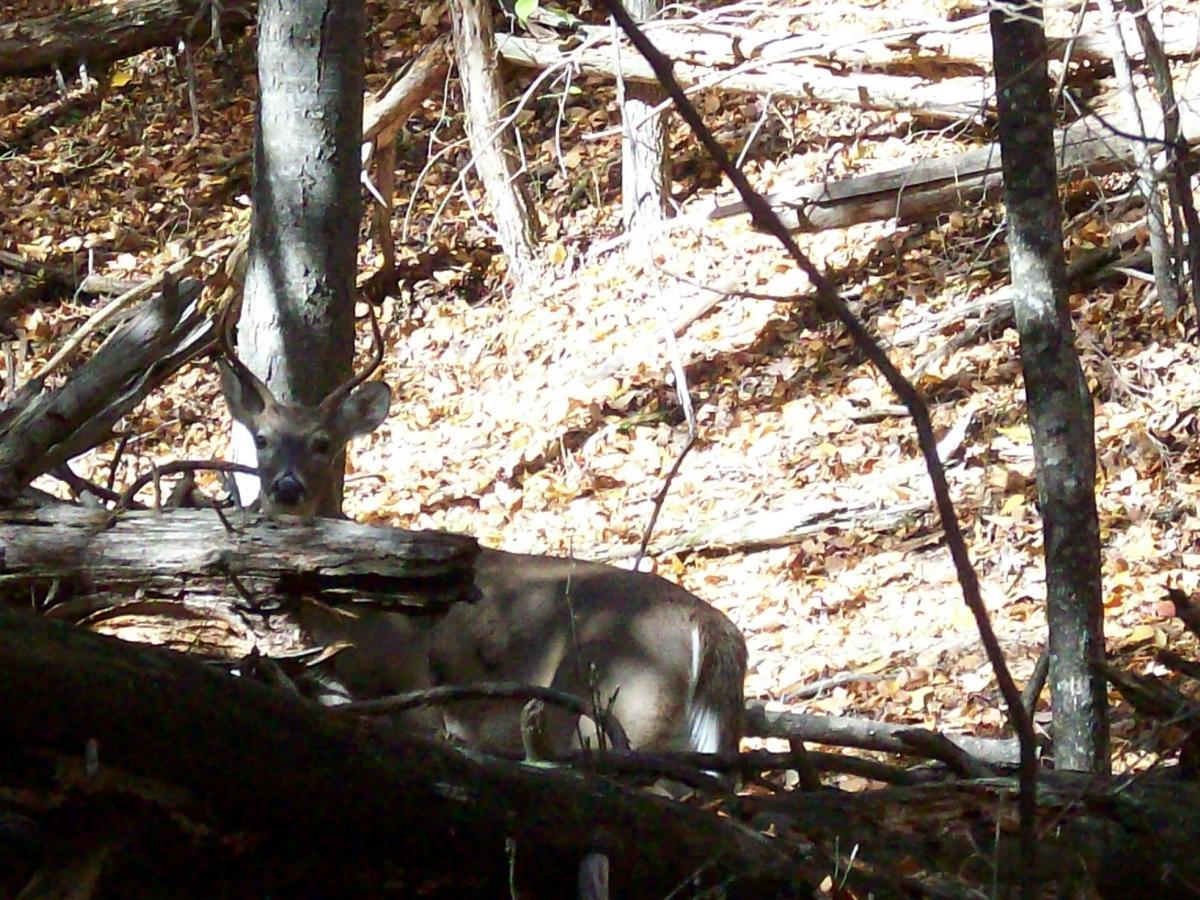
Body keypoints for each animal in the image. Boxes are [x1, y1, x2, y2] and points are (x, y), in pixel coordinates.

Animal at [217, 309, 747, 760]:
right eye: (262, 439)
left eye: (323, 444)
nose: (287, 488)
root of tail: (712, 628)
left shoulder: (413, 686)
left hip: (622, 699)